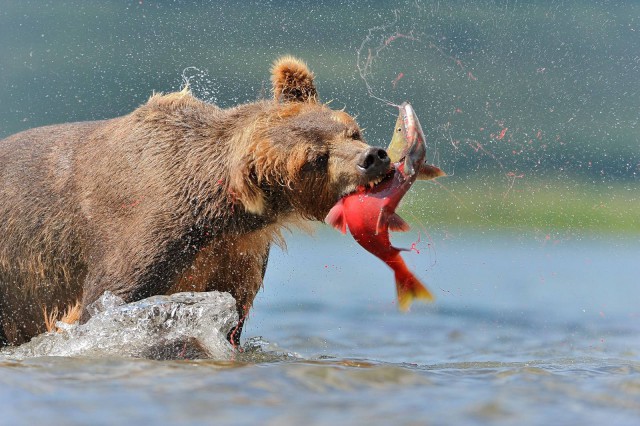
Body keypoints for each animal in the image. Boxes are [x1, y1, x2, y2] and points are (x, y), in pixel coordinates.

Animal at [0, 56, 390, 348]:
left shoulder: (235, 254)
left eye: (350, 131)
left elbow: (231, 315)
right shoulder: (141, 235)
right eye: (315, 159)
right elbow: (105, 305)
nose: (373, 157)